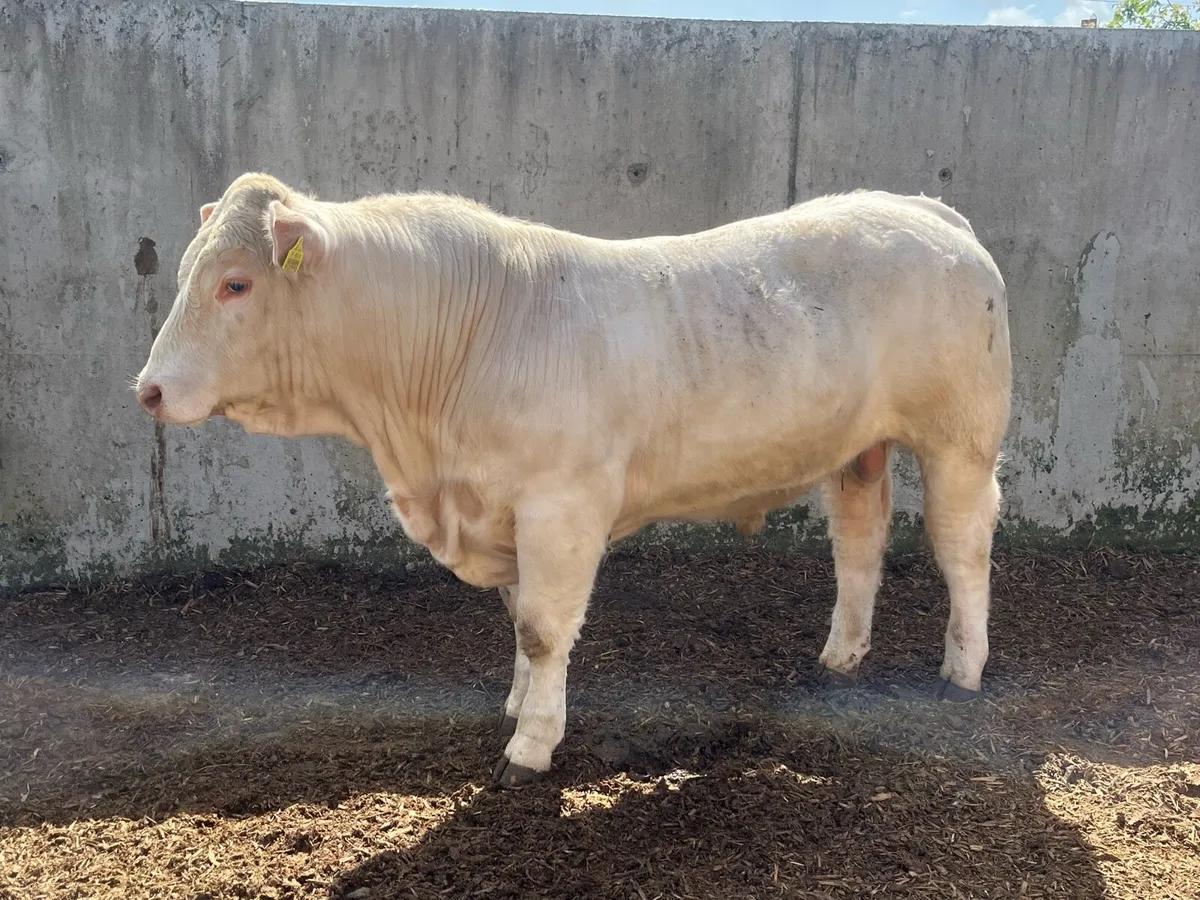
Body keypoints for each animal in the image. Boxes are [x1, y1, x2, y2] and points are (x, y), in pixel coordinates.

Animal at [135, 173, 1012, 787]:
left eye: (236, 283)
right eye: (184, 275)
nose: (148, 389)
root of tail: (928, 210)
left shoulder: (560, 505)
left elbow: (543, 628)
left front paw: (530, 746)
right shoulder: (501, 508)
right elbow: (517, 616)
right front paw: (520, 704)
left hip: (961, 437)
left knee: (961, 545)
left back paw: (963, 670)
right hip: (859, 447)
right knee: (859, 540)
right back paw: (840, 655)